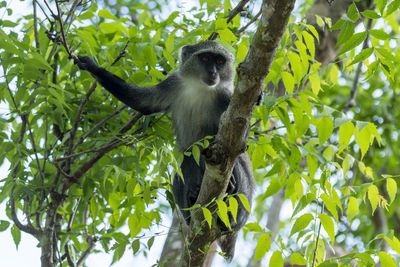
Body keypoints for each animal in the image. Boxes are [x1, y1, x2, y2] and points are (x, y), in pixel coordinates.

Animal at [76, 40, 255, 262]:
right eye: (205, 58)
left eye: (219, 61)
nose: (213, 72)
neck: (201, 89)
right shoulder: (173, 84)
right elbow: (143, 102)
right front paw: (91, 66)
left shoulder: (227, 99)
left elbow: (239, 140)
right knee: (186, 161)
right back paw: (193, 200)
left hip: (243, 204)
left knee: (233, 163)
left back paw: (228, 195)